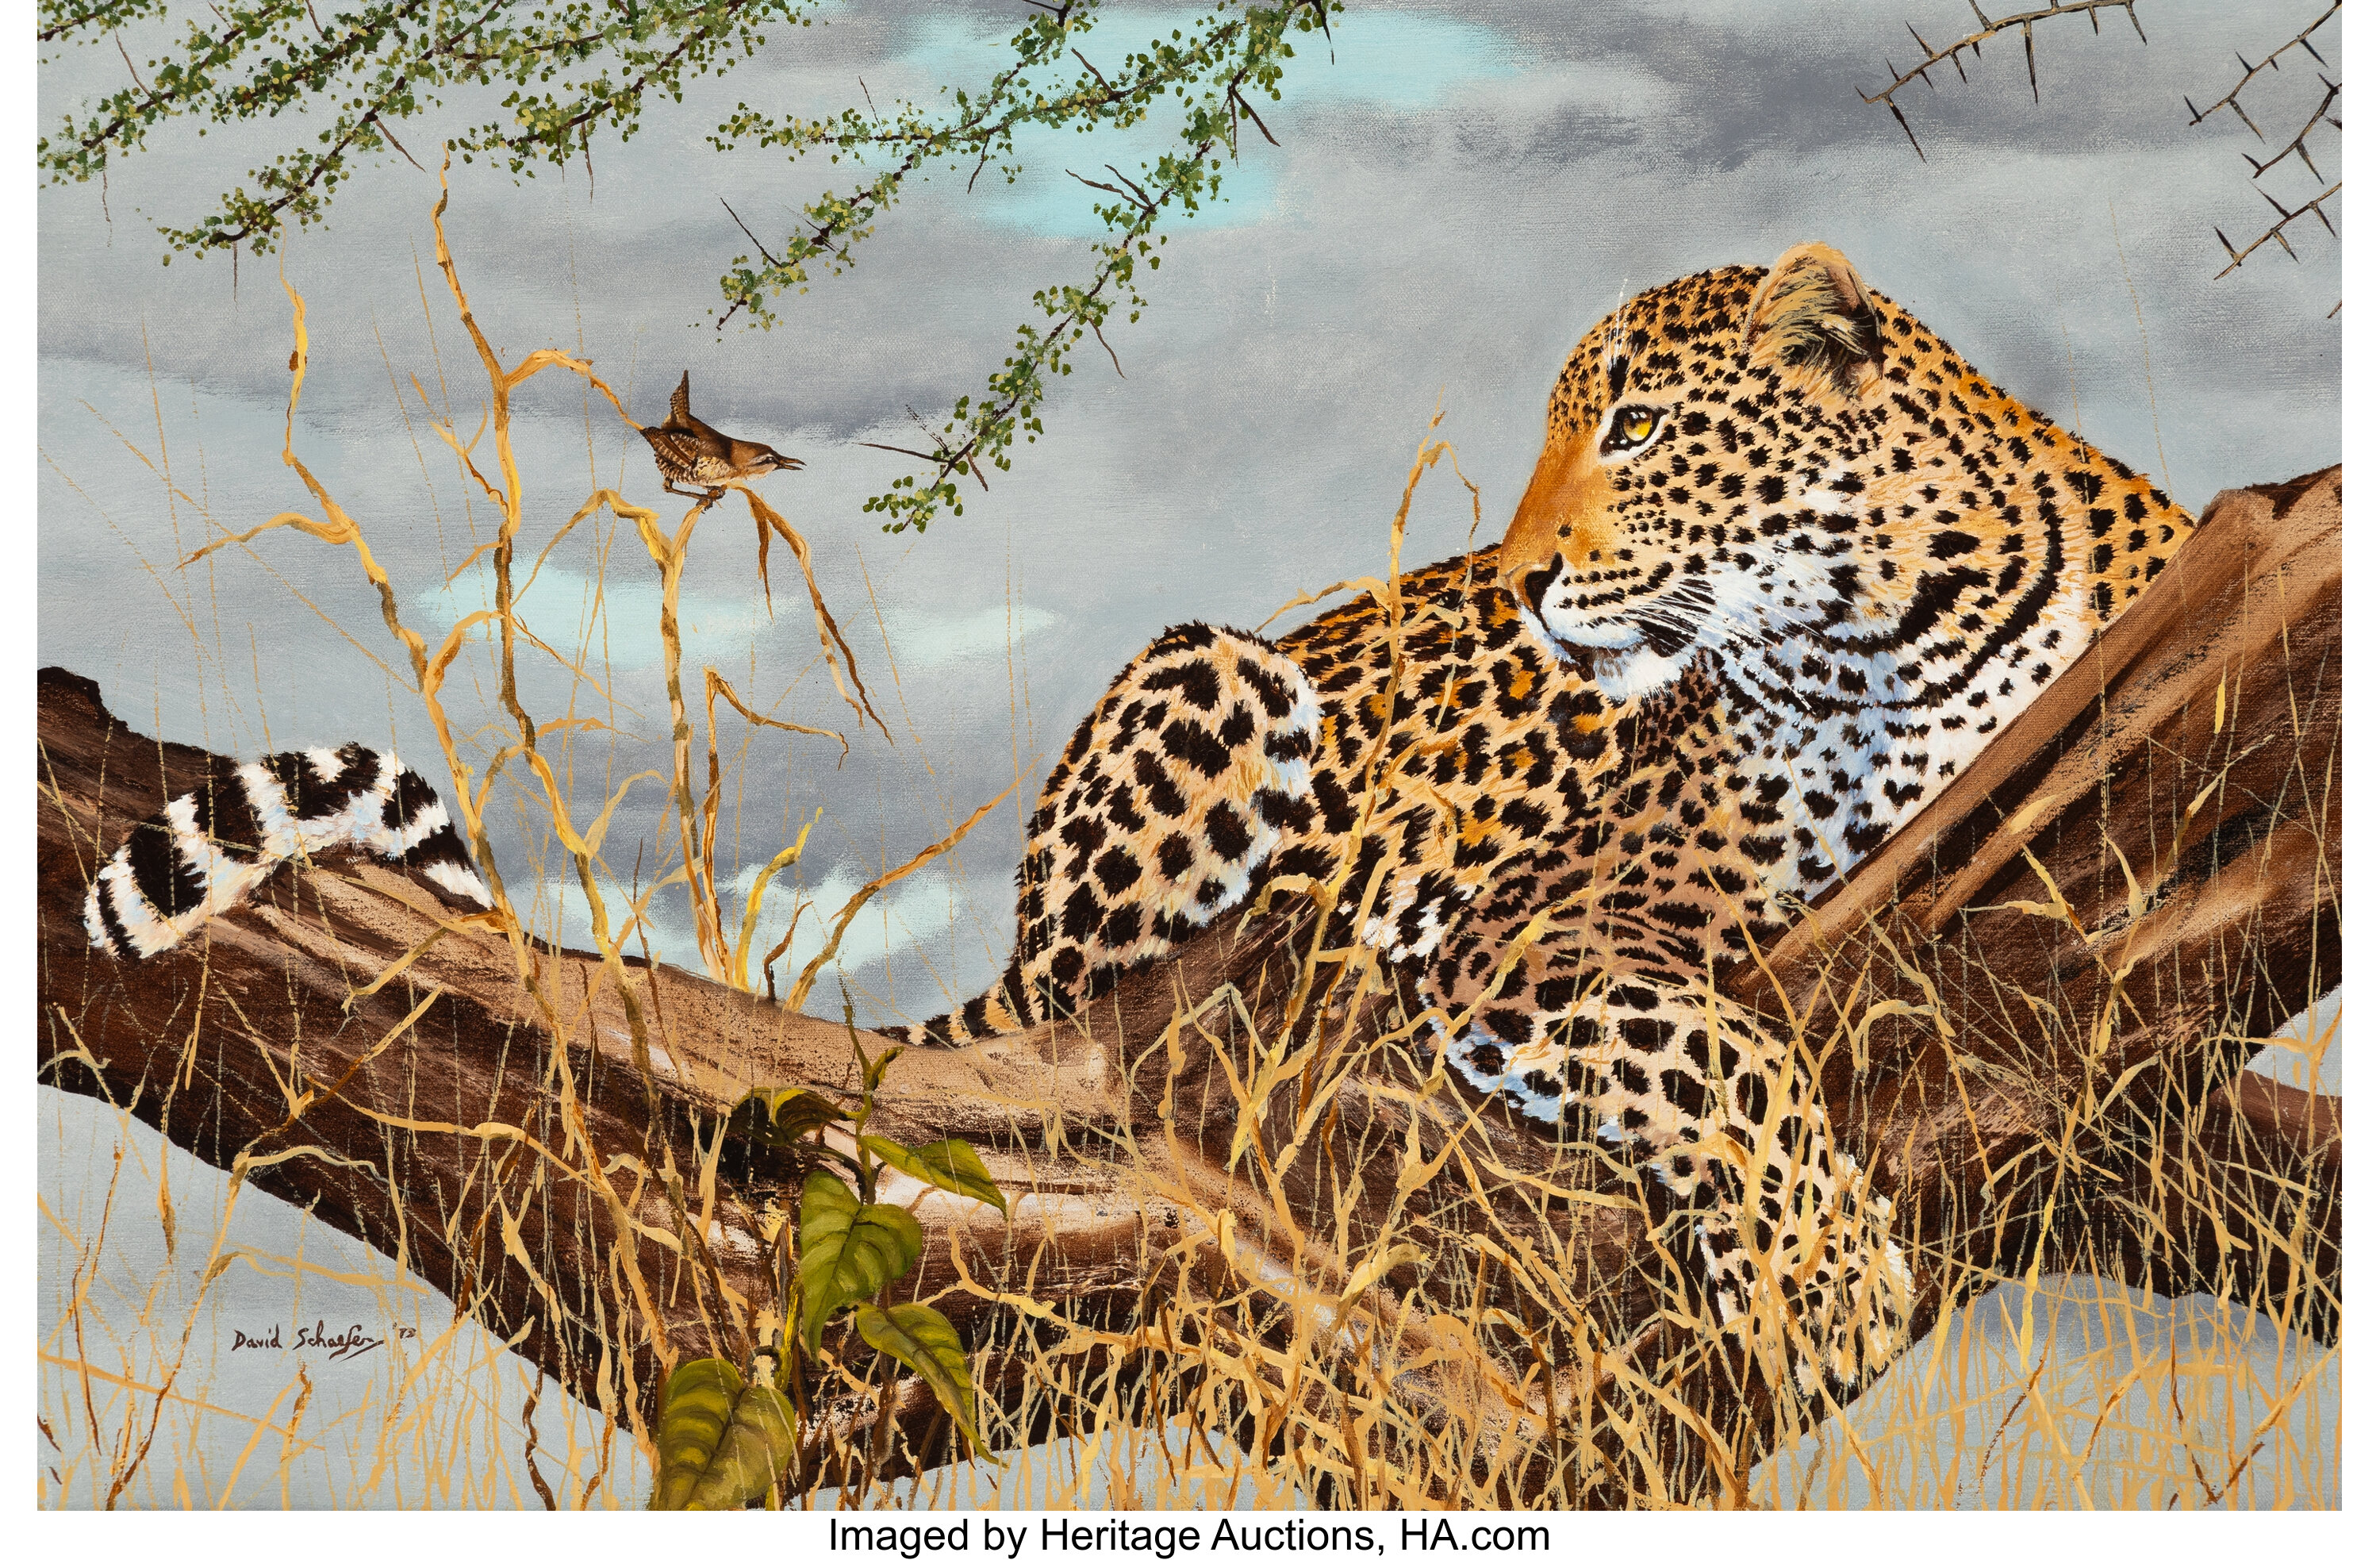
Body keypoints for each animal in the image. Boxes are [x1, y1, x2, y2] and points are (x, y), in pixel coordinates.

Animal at [886, 242, 2195, 1401]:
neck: (1900, 630)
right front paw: (1822, 1288)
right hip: (1217, 677)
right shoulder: (1532, 921)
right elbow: (1720, 1056)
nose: (1514, 582)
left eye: (1640, 428)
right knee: (1088, 1013)